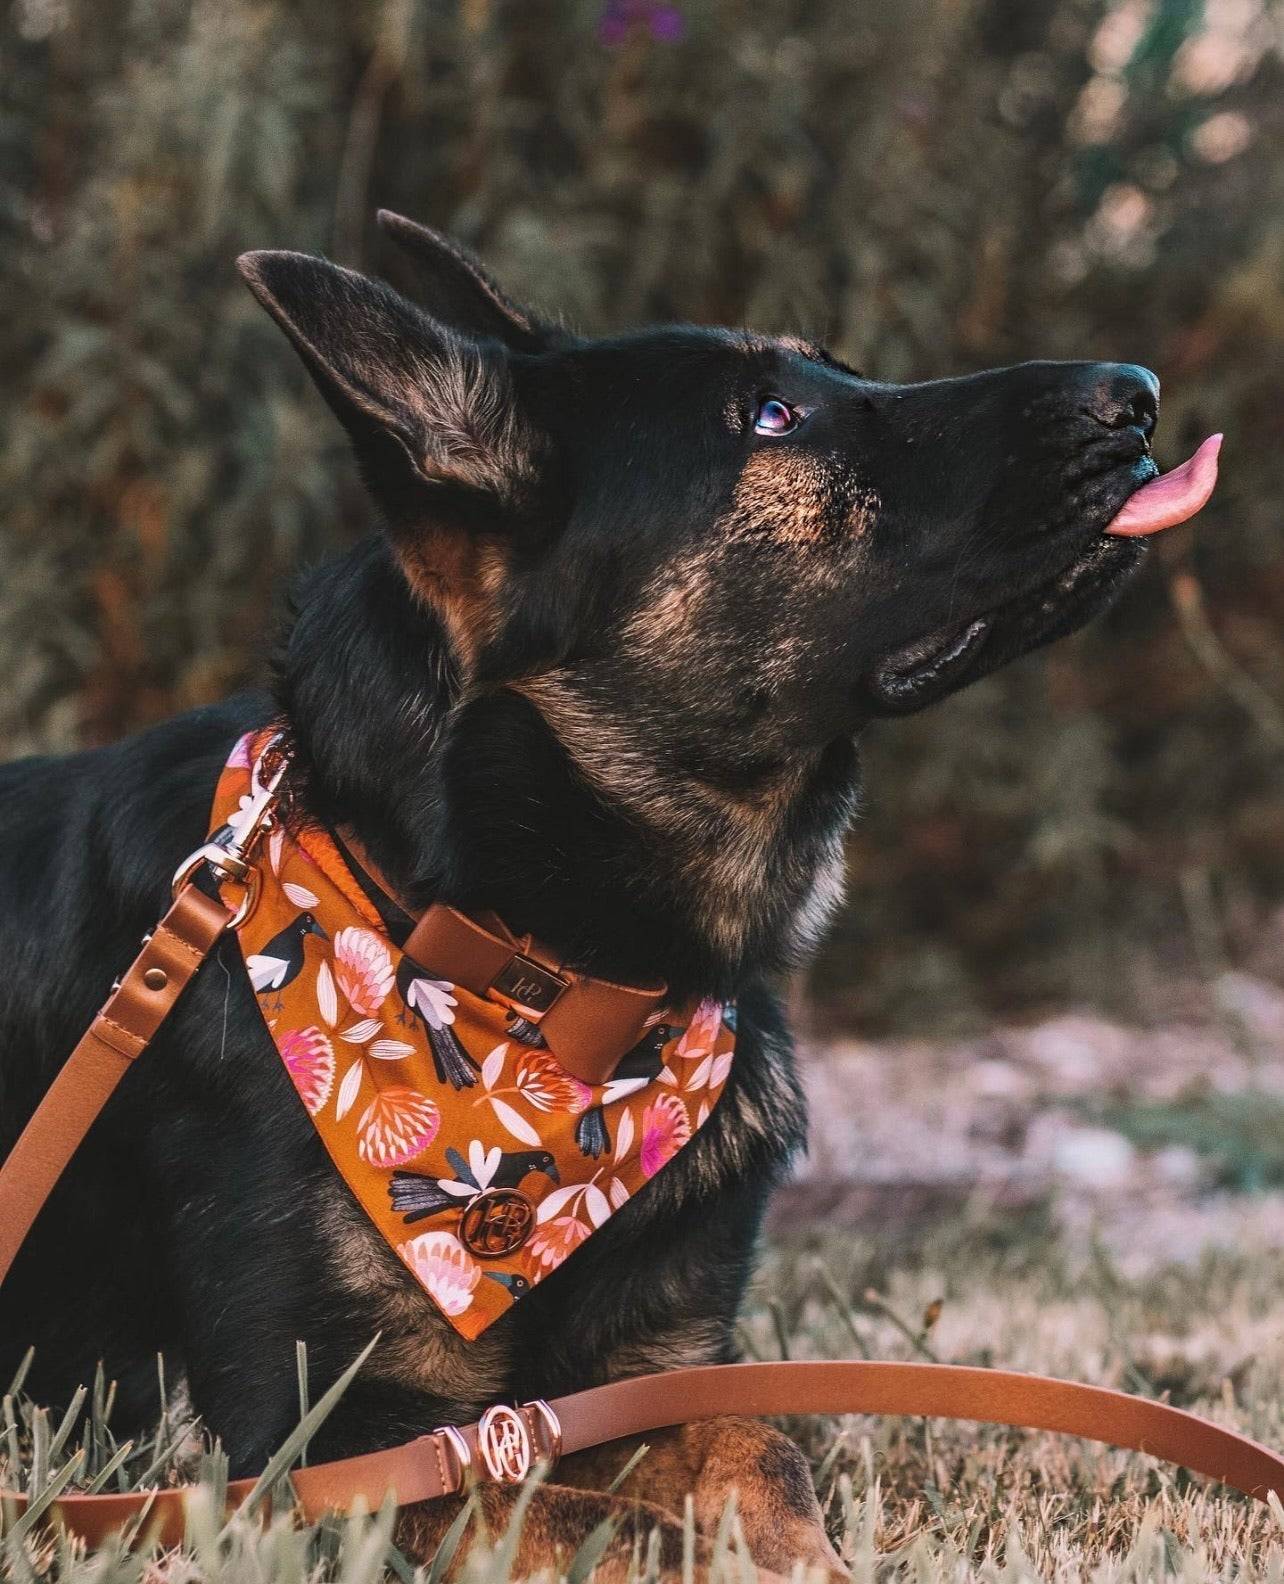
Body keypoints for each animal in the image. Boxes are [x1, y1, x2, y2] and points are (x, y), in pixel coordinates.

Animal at [0, 217, 1209, 1577]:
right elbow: (611, 1527)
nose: (1138, 395)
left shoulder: (653, 1379)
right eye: (773, 416)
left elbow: (765, 1450)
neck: (533, 981)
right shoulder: (316, 1450)